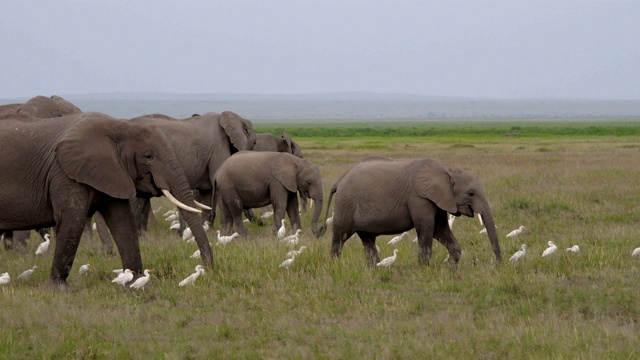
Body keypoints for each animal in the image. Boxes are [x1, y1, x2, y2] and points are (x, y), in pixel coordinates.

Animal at [0, 112, 215, 286]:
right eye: (148, 156)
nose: (207, 268)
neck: (119, 126)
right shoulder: (64, 174)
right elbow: (71, 222)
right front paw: (58, 289)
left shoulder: (112, 171)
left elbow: (123, 222)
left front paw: (135, 283)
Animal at [322, 156, 502, 266]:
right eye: (471, 193)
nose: (497, 265)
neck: (447, 170)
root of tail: (339, 180)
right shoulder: (419, 199)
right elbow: (427, 229)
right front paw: (424, 270)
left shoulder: (439, 199)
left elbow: (440, 230)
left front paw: (450, 268)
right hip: (346, 204)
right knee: (340, 237)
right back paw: (335, 267)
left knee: (368, 240)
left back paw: (374, 269)